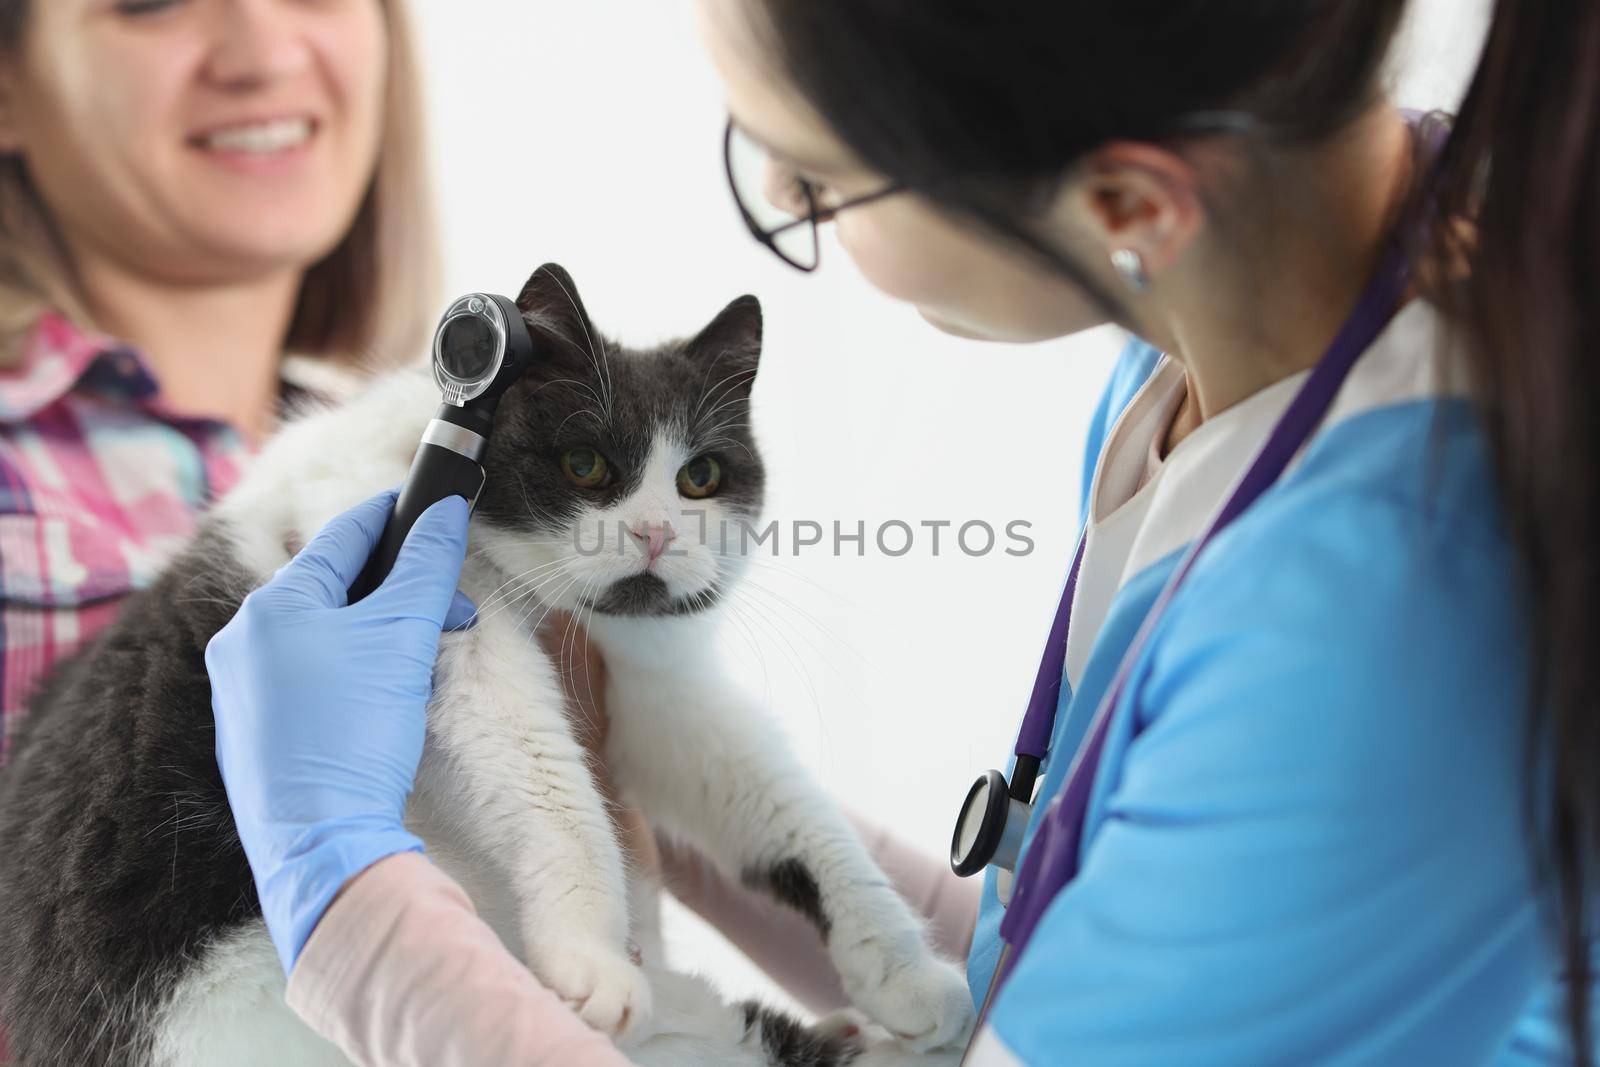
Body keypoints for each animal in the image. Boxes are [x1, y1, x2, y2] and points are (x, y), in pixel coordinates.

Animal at [0, 260, 972, 1067]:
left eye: (700, 476)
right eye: (585, 463)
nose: (655, 533)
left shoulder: (653, 686)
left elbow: (783, 806)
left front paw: (906, 971)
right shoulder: (437, 614)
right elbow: (542, 776)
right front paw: (589, 953)